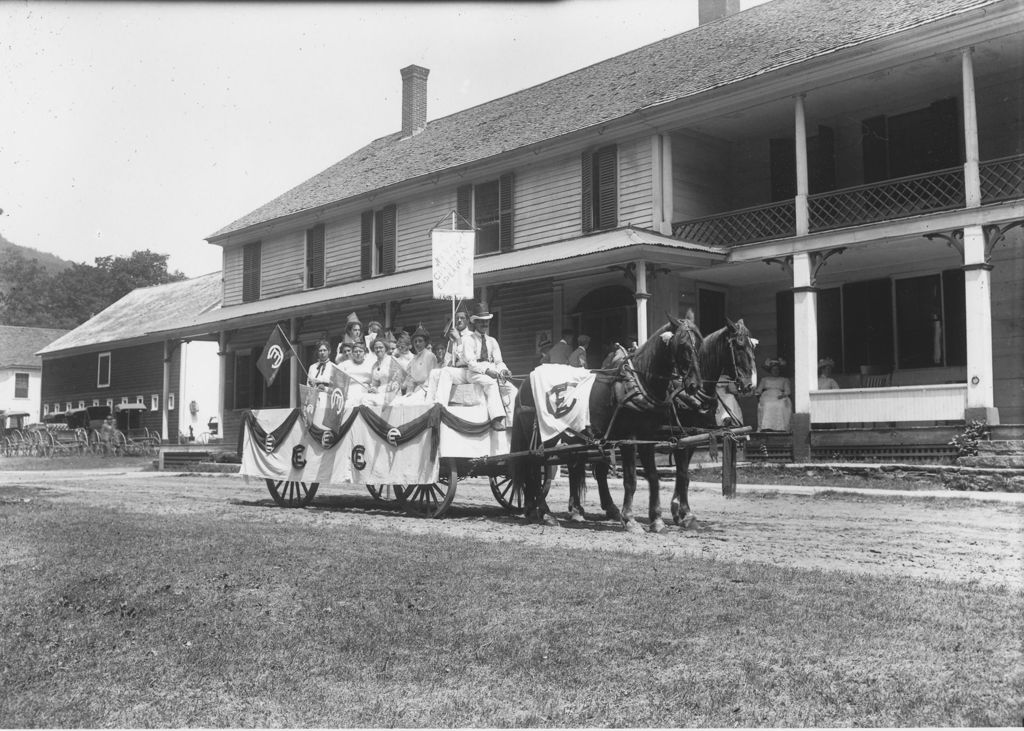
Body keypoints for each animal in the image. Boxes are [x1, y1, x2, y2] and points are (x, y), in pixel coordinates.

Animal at [512, 313, 704, 528]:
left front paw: (657, 520)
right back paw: (545, 513)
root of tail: (526, 380)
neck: (639, 383)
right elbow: (631, 479)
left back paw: (534, 509)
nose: (694, 384)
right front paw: (630, 519)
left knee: (537, 467)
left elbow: (654, 477)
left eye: (699, 344)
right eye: (682, 345)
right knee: (535, 468)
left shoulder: (647, 437)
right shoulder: (629, 438)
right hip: (543, 435)